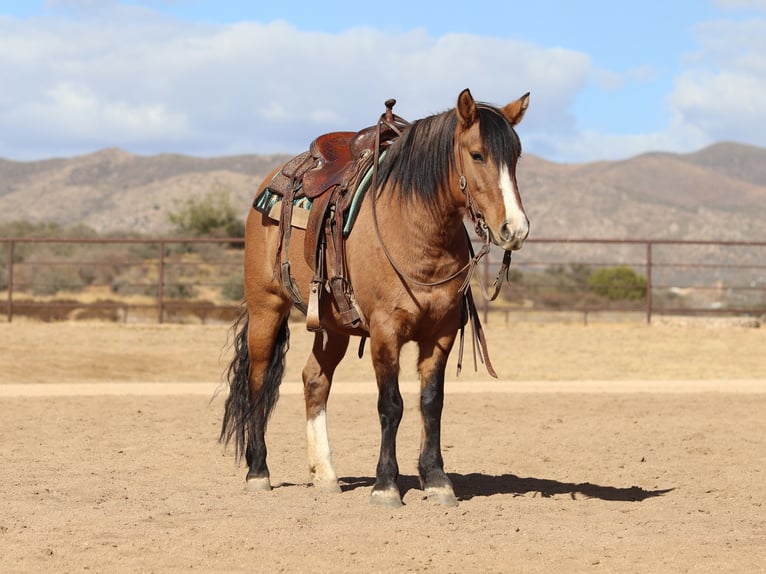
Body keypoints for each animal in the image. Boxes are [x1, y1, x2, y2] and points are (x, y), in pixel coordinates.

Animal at [222, 89, 532, 508]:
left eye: (515, 157)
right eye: (477, 154)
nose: (515, 229)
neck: (415, 229)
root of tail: (271, 184)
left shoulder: (442, 333)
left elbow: (431, 402)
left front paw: (436, 479)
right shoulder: (386, 332)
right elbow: (391, 404)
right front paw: (386, 484)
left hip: (333, 327)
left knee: (314, 380)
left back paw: (325, 474)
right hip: (265, 308)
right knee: (257, 379)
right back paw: (258, 471)